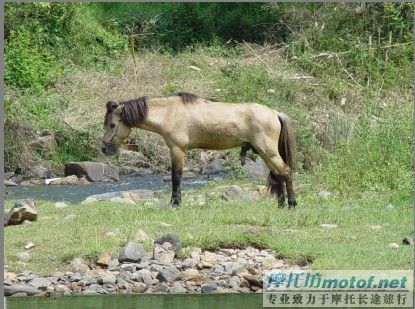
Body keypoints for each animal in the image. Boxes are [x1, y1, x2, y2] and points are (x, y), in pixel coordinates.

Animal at [101, 91, 296, 207]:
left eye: (112, 125)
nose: (104, 148)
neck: (170, 113)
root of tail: (275, 113)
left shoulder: (177, 149)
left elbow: (176, 177)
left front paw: (175, 203)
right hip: (265, 153)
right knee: (278, 175)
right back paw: (281, 204)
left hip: (268, 152)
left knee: (286, 172)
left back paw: (292, 204)